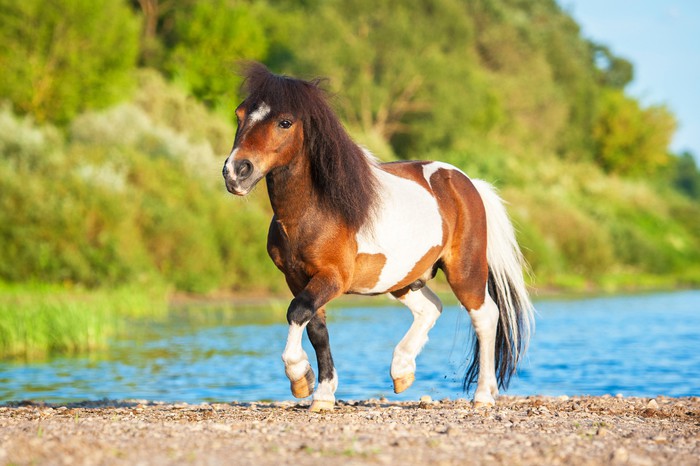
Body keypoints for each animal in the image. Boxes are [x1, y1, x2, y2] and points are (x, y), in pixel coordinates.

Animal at [222, 62, 534, 412]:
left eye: (285, 122)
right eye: (239, 114)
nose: (236, 172)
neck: (316, 210)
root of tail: (468, 183)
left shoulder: (333, 277)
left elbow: (297, 312)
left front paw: (300, 376)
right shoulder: (296, 277)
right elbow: (316, 328)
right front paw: (323, 394)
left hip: (464, 270)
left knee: (485, 316)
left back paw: (482, 395)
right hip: (404, 278)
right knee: (430, 308)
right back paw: (402, 371)